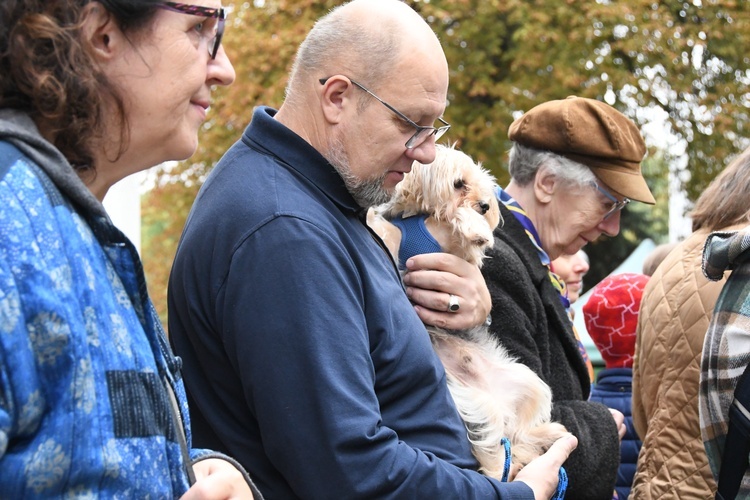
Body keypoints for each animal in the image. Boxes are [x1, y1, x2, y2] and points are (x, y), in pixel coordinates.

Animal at [368, 145, 568, 480]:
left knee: (518, 434)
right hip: (474, 402)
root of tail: (495, 400)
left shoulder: (460, 255)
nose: (486, 206)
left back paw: (547, 435)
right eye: (459, 183)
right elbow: (381, 227)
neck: (421, 221)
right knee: (501, 445)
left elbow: (462, 226)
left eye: (482, 187)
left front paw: (477, 227)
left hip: (528, 383)